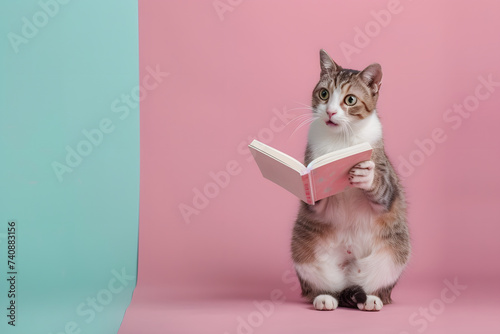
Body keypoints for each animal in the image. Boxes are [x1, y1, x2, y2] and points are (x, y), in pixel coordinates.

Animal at [292, 49, 408, 310]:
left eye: (350, 100)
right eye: (324, 94)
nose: (330, 112)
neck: (341, 140)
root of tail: (347, 274)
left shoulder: (386, 180)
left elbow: (383, 191)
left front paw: (367, 176)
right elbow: (314, 202)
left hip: (394, 252)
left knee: (376, 285)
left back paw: (372, 299)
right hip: (303, 248)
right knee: (320, 286)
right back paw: (325, 297)